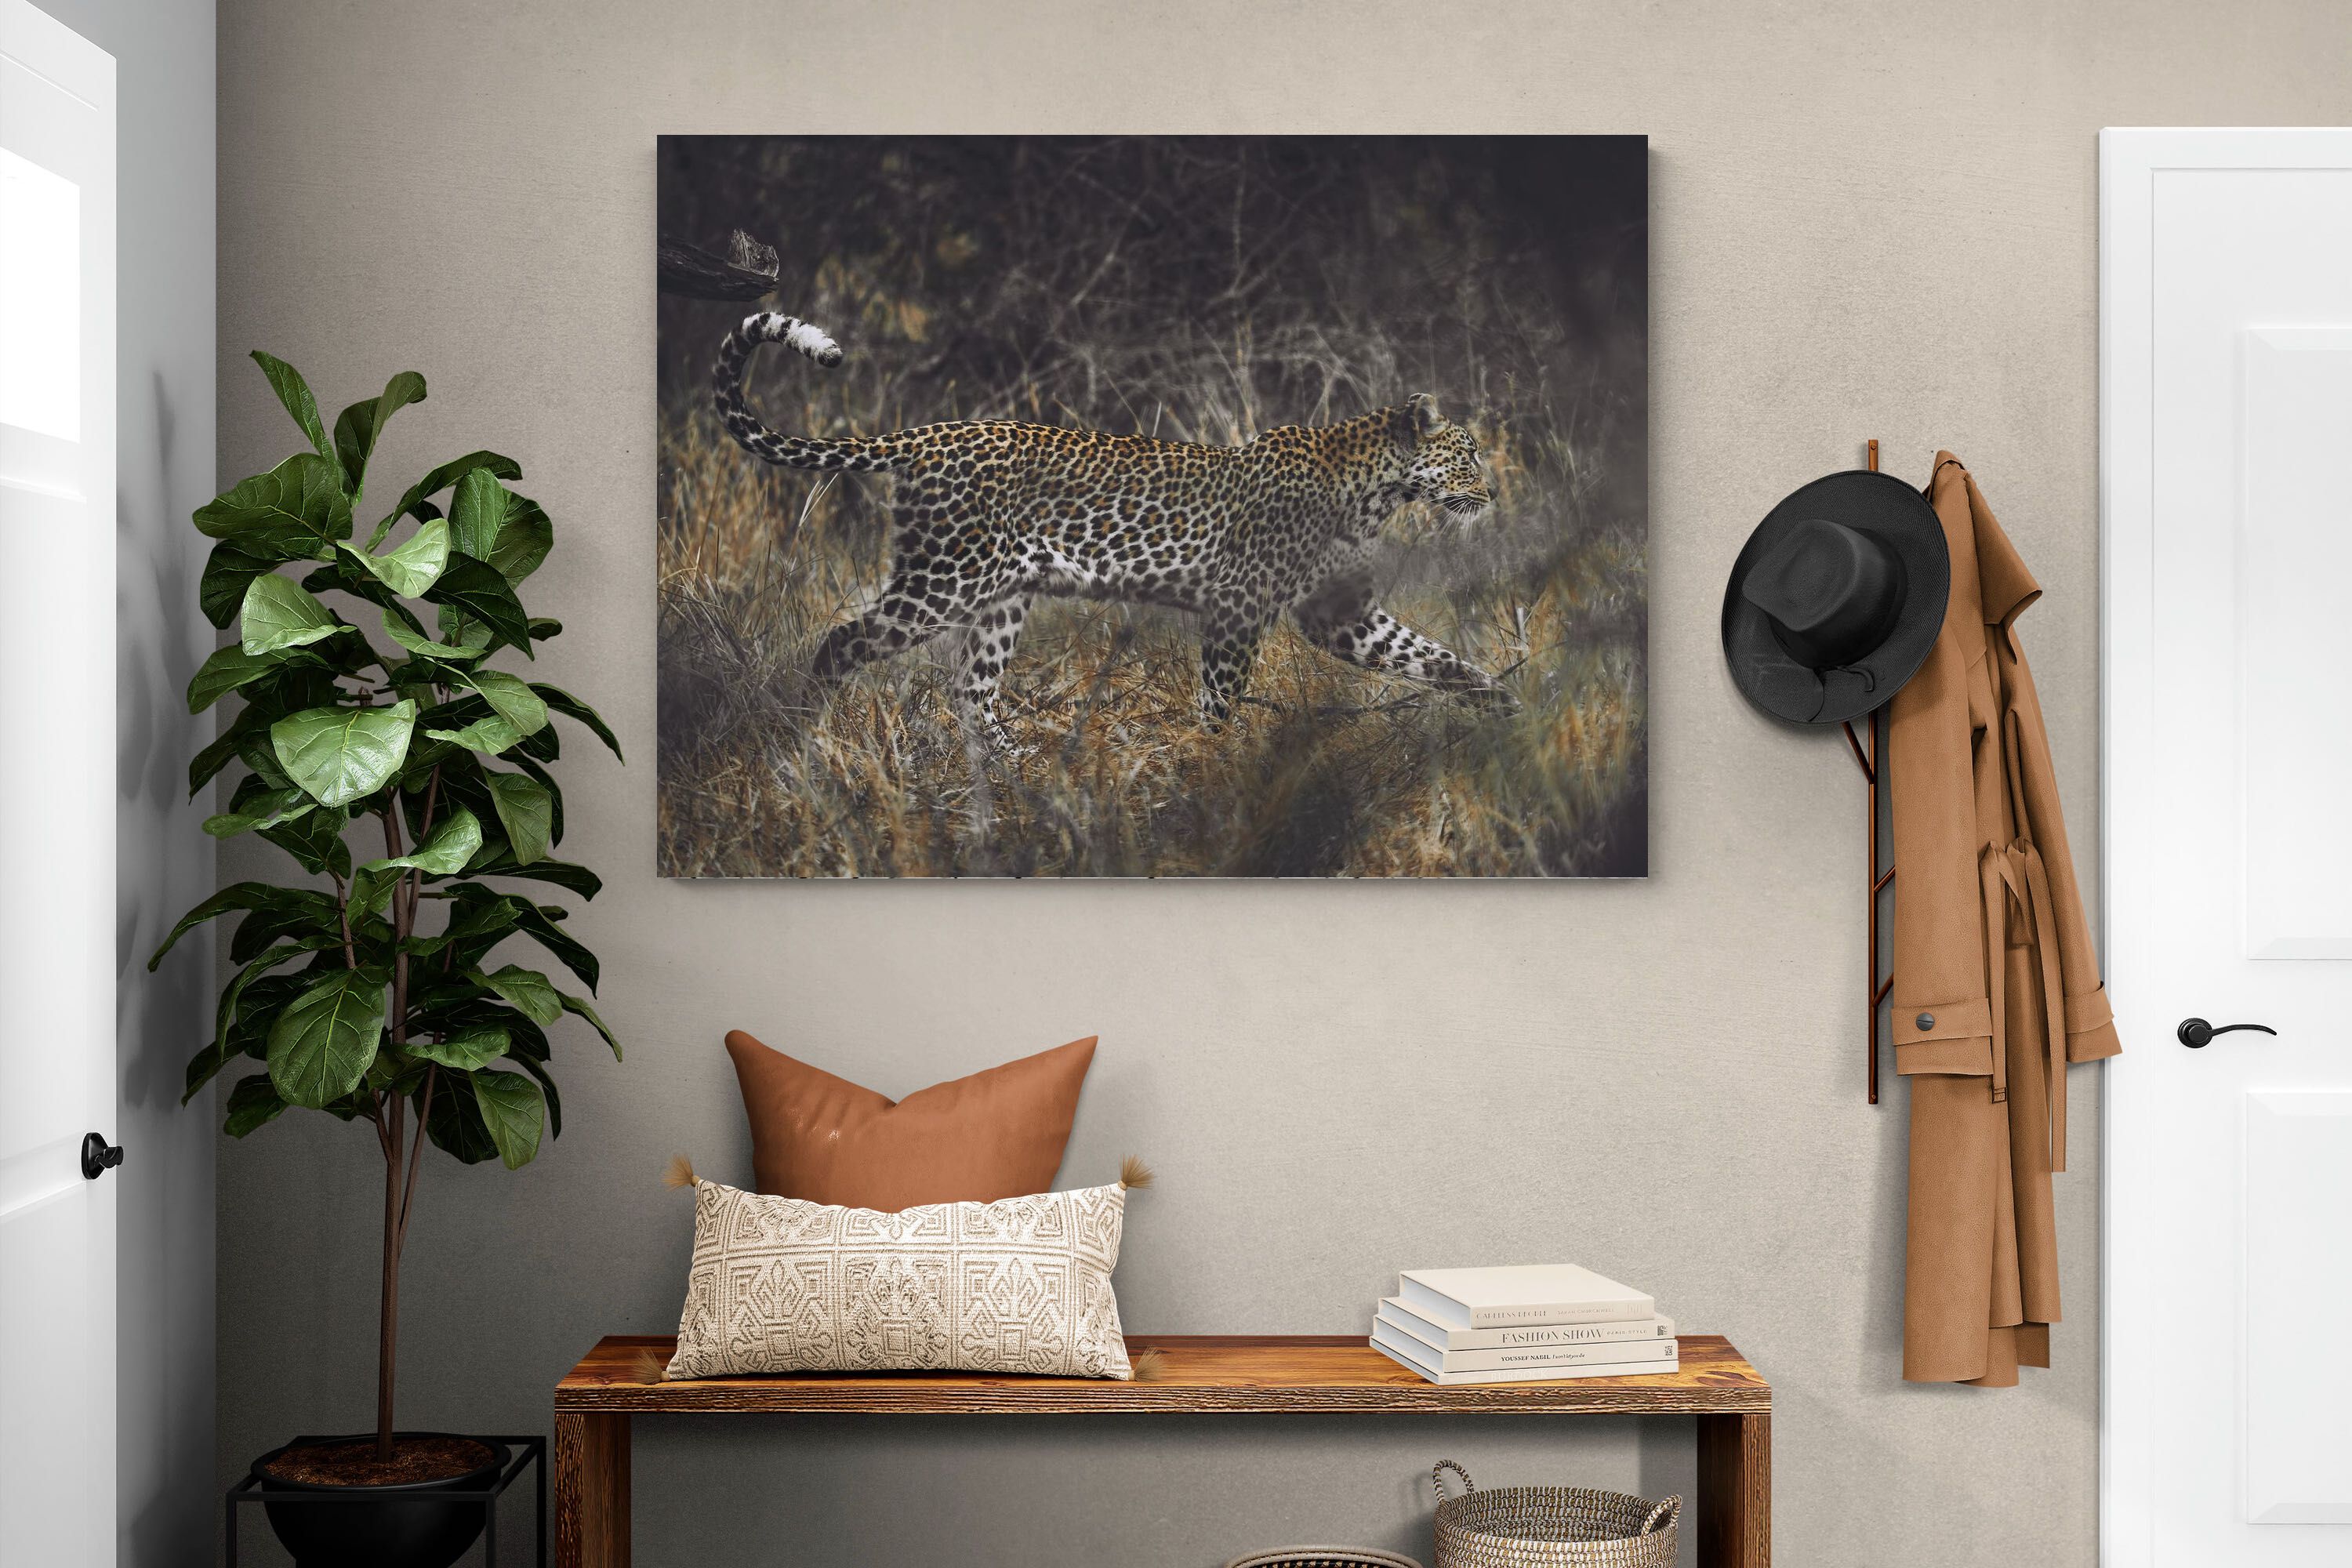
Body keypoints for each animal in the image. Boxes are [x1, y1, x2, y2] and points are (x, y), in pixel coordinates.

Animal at [712, 309, 1514, 742]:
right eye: (1469, 453)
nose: (1495, 491)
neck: (1375, 491)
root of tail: (930, 433)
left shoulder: (1339, 615)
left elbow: (1429, 655)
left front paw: (1506, 701)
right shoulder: (1240, 605)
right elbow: (1219, 695)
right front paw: (1213, 765)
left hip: (1002, 596)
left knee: (973, 693)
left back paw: (1017, 773)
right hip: (944, 578)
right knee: (843, 643)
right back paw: (805, 735)